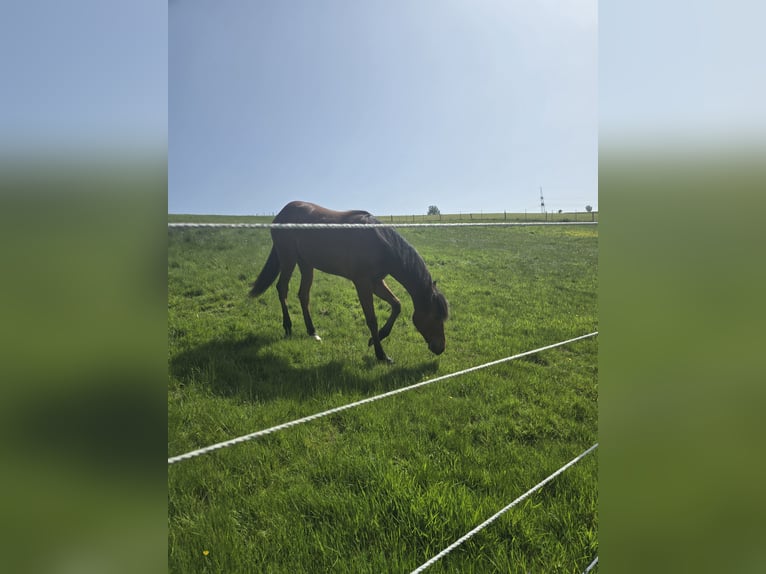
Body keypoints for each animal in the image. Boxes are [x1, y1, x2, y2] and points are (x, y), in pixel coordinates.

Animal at [249, 201, 449, 362]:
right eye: (436, 316)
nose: (440, 348)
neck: (378, 242)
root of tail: (281, 214)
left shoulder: (376, 283)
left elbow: (397, 305)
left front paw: (376, 339)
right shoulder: (363, 284)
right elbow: (372, 319)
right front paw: (381, 355)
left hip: (306, 264)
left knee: (303, 295)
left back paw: (313, 332)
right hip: (288, 258)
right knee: (282, 288)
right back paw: (288, 327)